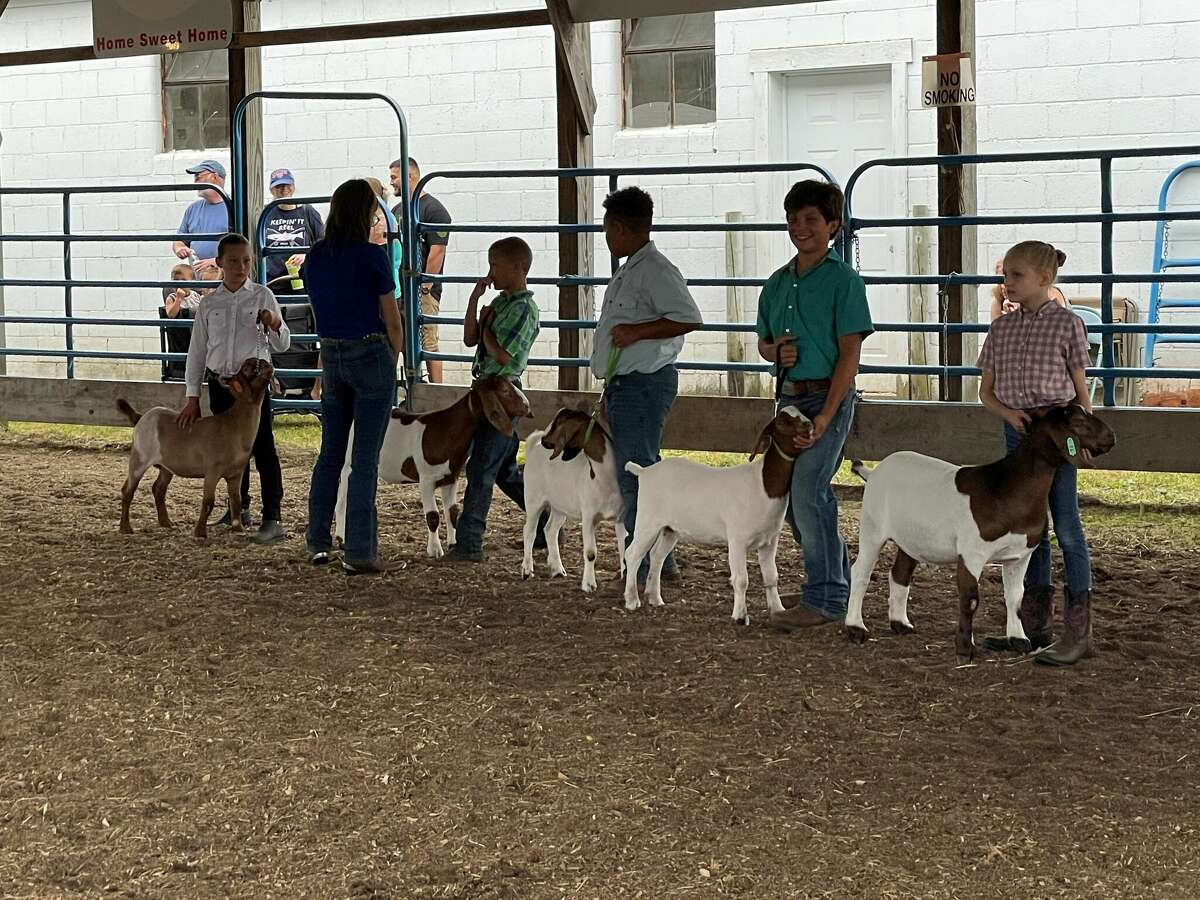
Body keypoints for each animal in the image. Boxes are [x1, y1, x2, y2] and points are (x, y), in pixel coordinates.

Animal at [333, 374, 530, 556]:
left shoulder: (451, 478)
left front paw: (452, 544)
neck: (445, 430)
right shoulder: (426, 479)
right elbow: (433, 516)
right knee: (342, 502)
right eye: (504, 390)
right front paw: (435, 550)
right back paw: (342, 539)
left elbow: (452, 513)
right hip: (346, 465)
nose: (527, 405)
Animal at [525, 408, 628, 592]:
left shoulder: (620, 517)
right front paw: (589, 584)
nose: (544, 439)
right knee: (528, 532)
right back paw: (526, 570)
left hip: (559, 506)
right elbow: (590, 553)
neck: (602, 477)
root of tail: (533, 447)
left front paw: (625, 578)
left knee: (550, 530)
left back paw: (558, 570)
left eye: (558, 422)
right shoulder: (588, 517)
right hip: (533, 499)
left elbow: (624, 548)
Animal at [619, 408, 816, 628]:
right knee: (633, 554)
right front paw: (740, 616)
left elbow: (772, 576)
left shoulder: (770, 540)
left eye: (802, 413)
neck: (762, 485)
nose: (809, 425)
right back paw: (632, 600)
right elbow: (741, 579)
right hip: (648, 520)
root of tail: (644, 471)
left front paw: (778, 610)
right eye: (783, 422)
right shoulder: (737, 539)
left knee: (657, 556)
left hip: (671, 529)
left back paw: (655, 598)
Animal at [844, 405, 1113, 657]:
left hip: (910, 538)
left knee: (900, 574)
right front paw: (965, 647)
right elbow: (970, 599)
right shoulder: (972, 553)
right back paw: (856, 628)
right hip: (872, 527)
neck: (1006, 490)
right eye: (1077, 421)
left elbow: (1016, 597)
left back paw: (900, 623)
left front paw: (1019, 640)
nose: (1111, 436)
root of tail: (874, 472)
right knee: (860, 572)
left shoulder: (1020, 555)